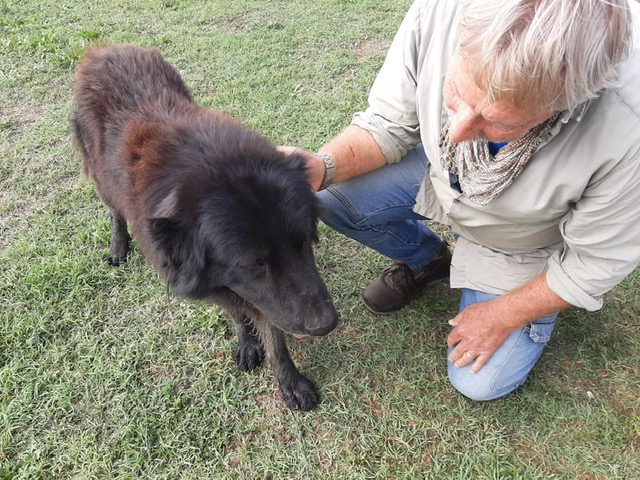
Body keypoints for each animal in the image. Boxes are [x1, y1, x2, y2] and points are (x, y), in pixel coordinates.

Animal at [71, 45, 338, 410]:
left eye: (304, 242)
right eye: (256, 263)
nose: (326, 324)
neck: (210, 159)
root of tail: (106, 49)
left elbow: (271, 329)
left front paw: (289, 380)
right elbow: (242, 312)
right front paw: (249, 343)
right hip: (99, 173)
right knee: (112, 209)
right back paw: (118, 245)